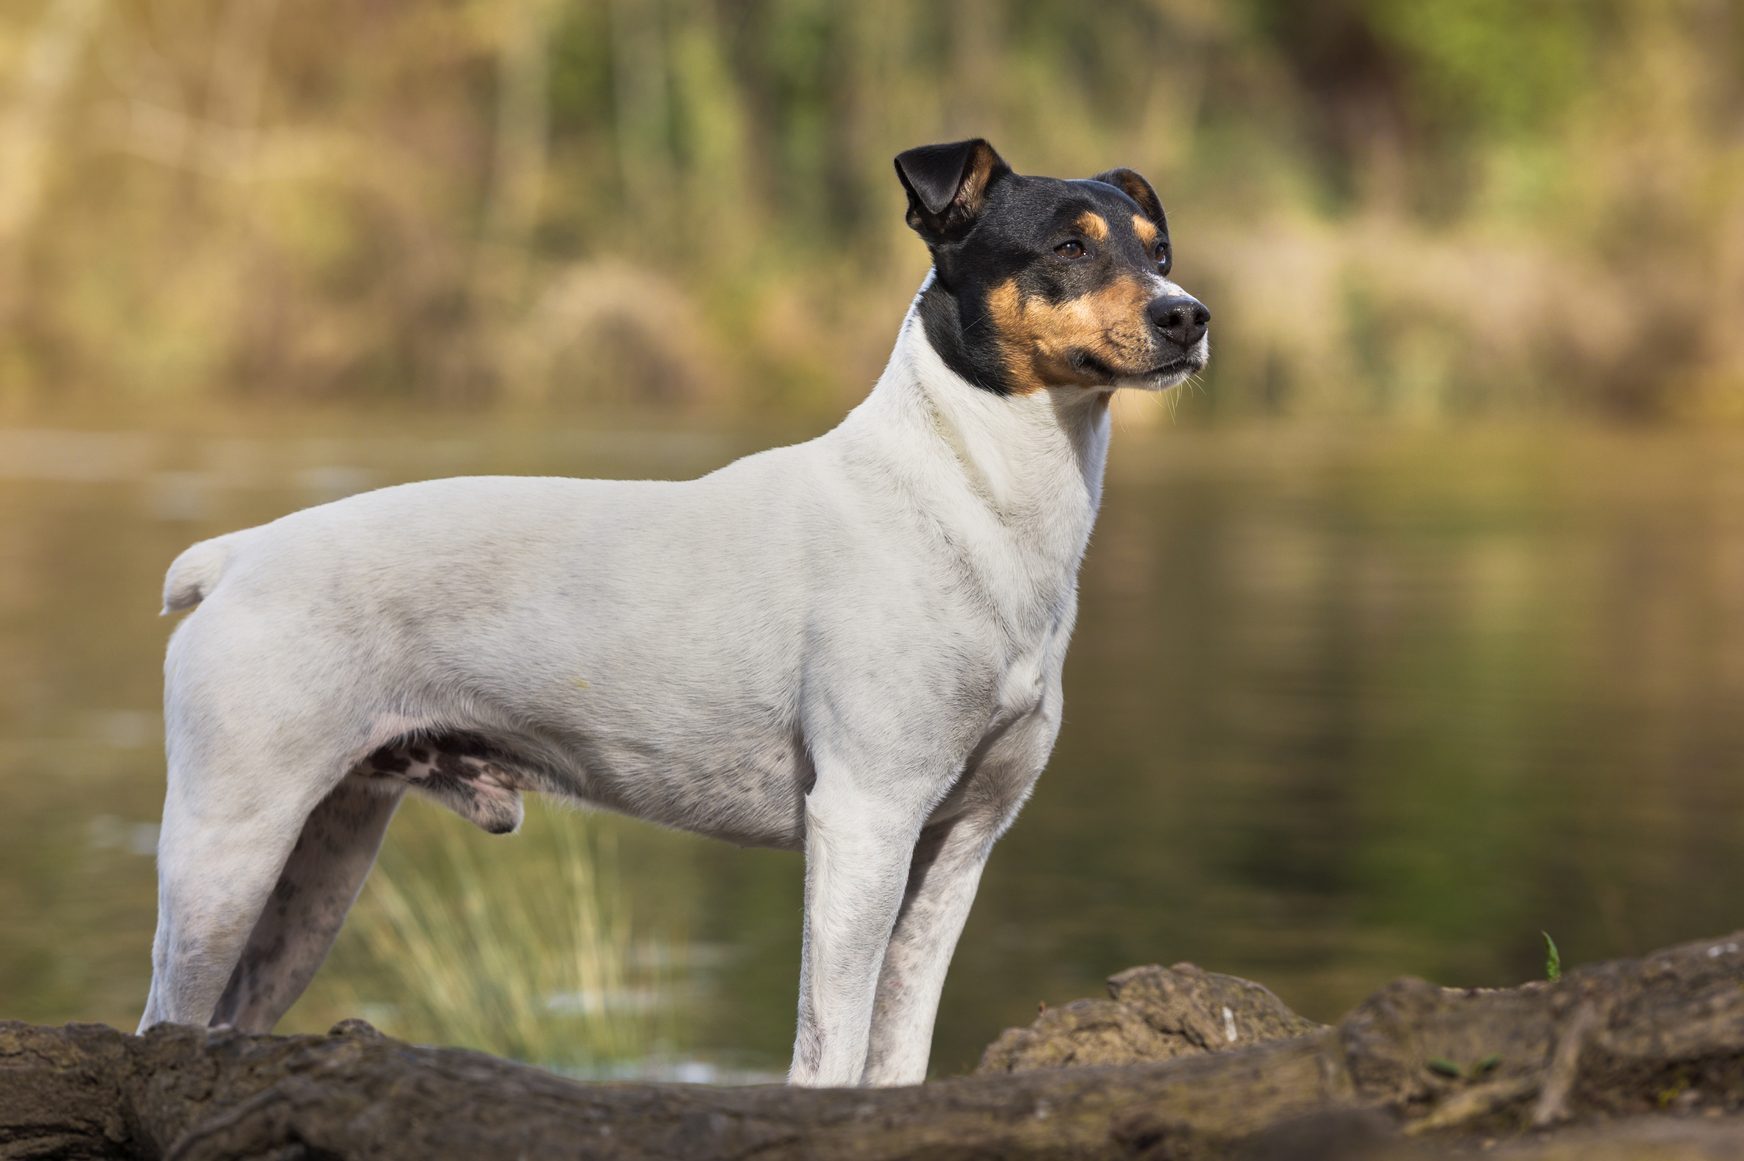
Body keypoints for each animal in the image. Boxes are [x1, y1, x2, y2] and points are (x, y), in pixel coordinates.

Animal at [139, 137, 1213, 1087]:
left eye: (1158, 248)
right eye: (1068, 248)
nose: (1190, 317)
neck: (967, 501)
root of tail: (235, 557)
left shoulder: (960, 842)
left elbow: (895, 1052)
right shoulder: (864, 819)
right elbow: (829, 1050)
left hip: (316, 873)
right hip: (229, 848)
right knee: (161, 1021)